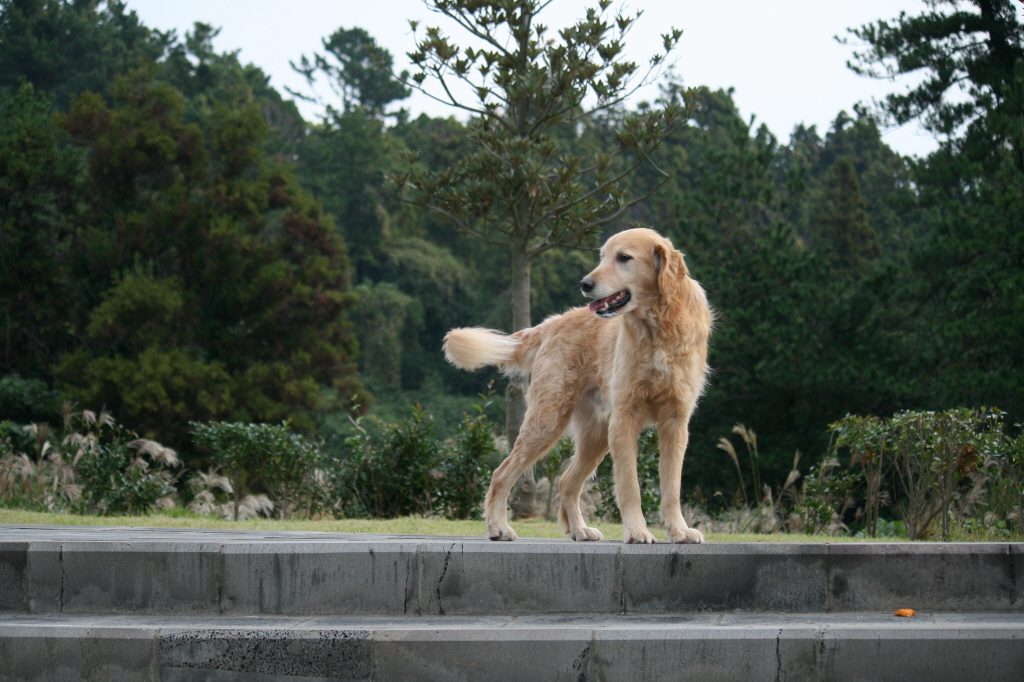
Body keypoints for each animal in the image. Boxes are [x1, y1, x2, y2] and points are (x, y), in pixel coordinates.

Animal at [440, 228, 712, 540]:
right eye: (602, 256)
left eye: (624, 258)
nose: (585, 284)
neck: (657, 328)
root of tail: (552, 322)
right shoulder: (624, 419)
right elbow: (629, 486)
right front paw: (637, 532)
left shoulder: (675, 421)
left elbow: (671, 487)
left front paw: (679, 531)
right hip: (547, 422)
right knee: (502, 473)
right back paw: (498, 526)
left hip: (595, 435)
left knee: (566, 481)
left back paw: (579, 529)